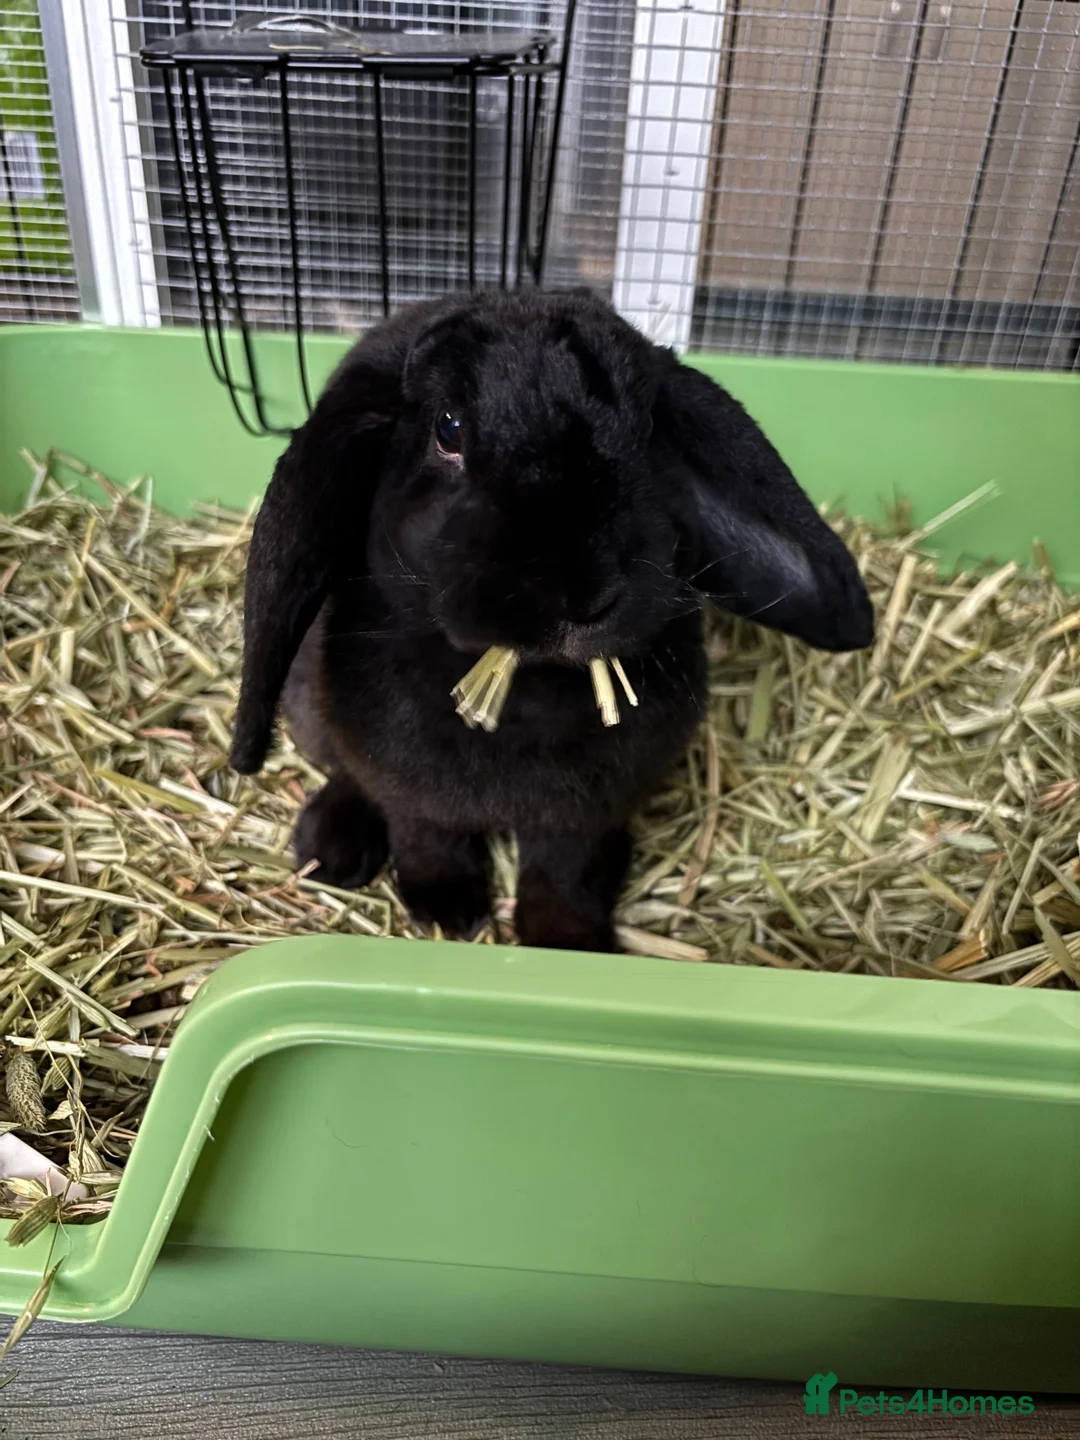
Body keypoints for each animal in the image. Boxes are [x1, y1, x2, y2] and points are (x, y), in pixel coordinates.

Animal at [229, 289, 874, 953]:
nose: (584, 595)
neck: (525, 689)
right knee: (343, 774)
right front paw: (448, 915)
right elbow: (428, 837)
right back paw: (329, 849)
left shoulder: (584, 820)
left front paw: (568, 942)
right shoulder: (412, 795)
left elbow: (565, 873)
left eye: (647, 431)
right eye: (448, 428)